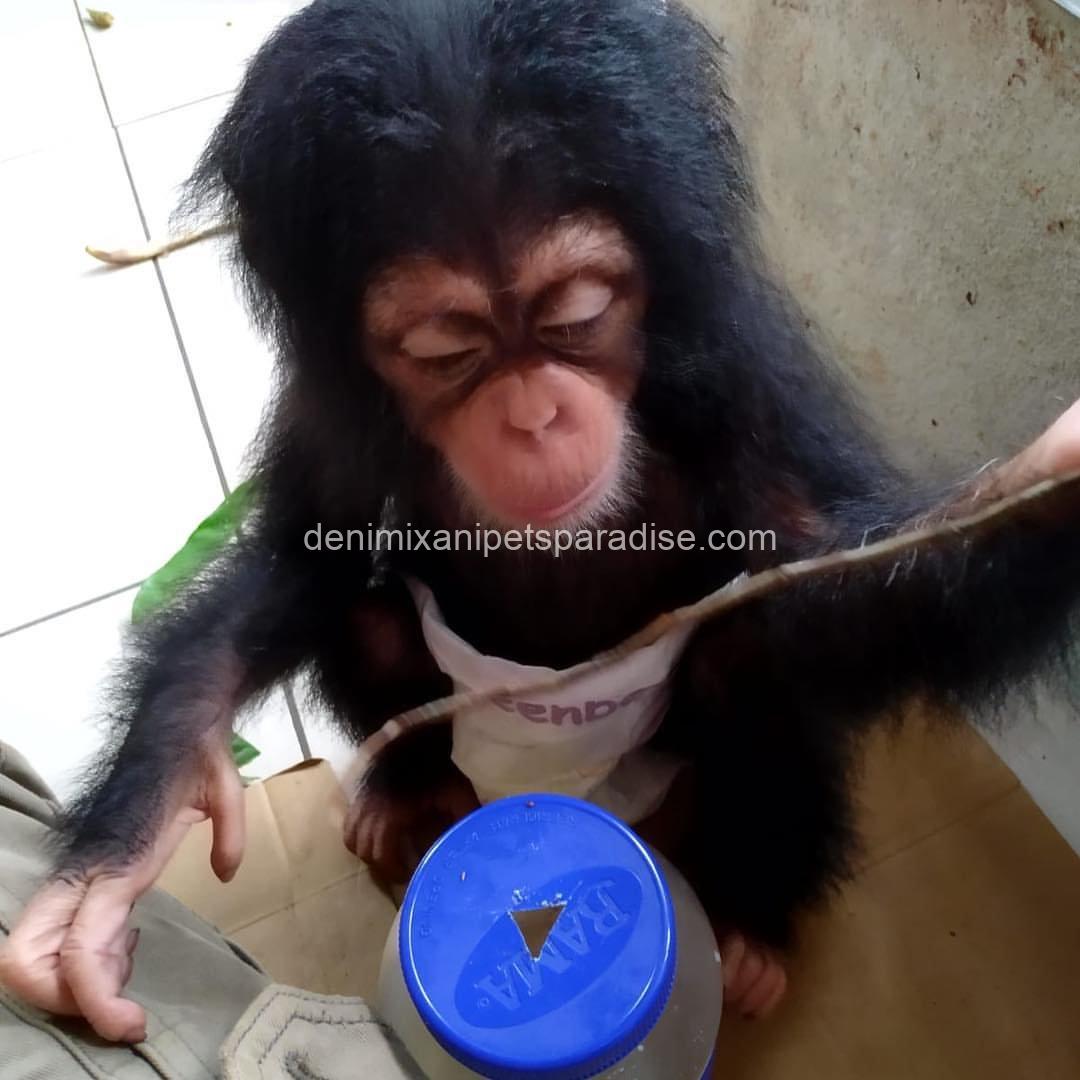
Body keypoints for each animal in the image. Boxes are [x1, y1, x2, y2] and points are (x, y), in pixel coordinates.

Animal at [1, 0, 1078, 1042]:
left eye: (576, 314)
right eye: (447, 351)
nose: (532, 415)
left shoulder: (746, 367)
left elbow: (823, 566)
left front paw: (1051, 478)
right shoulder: (325, 410)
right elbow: (304, 561)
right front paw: (118, 859)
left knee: (750, 658)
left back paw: (749, 923)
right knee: (371, 617)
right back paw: (405, 797)